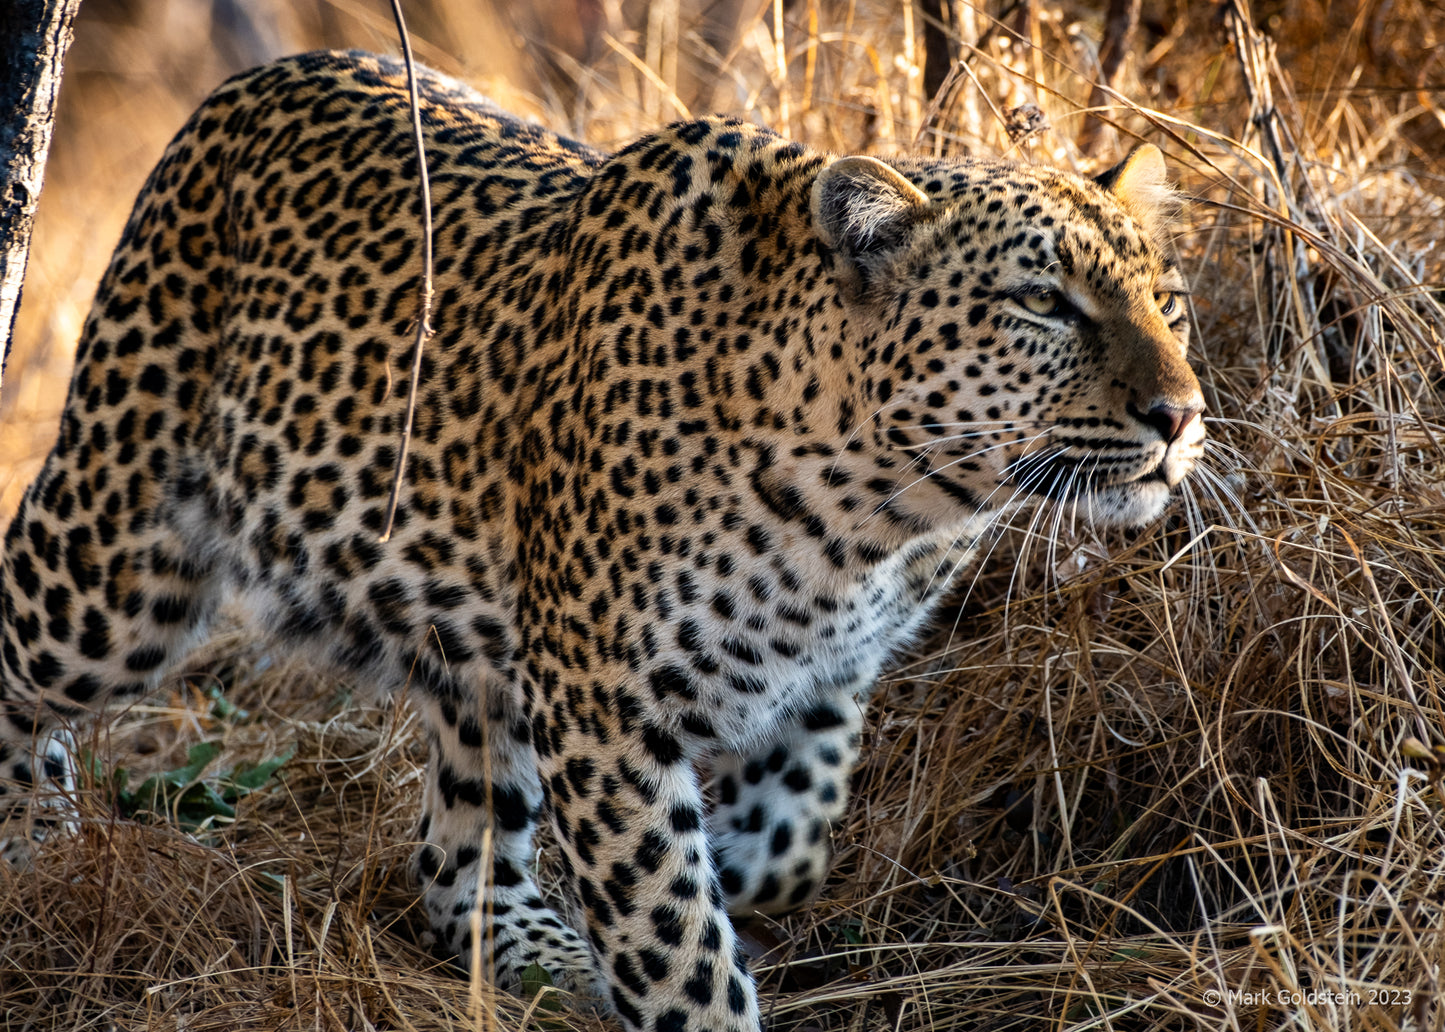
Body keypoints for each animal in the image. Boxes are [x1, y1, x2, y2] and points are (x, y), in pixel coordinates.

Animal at [0, 52, 1202, 1029]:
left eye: (1168, 300)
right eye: (1043, 303)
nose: (1180, 414)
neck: (879, 512)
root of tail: (250, 83)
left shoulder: (828, 668)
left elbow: (792, 834)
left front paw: (736, 874)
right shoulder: (602, 696)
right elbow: (671, 933)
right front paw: (697, 981)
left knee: (457, 855)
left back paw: (540, 948)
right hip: (118, 556)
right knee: (22, 643)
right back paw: (34, 838)